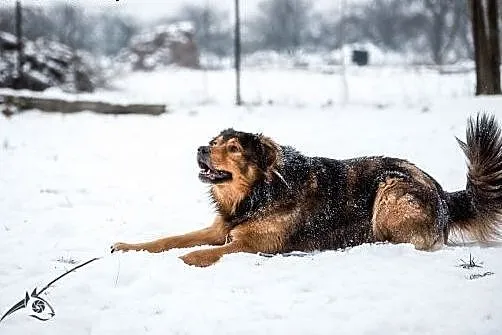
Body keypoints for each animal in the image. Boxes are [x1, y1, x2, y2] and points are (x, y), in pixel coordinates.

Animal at [112, 115, 502, 268]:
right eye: (215, 142)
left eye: (234, 149)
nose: (201, 149)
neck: (257, 192)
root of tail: (443, 194)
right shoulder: (220, 228)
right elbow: (168, 239)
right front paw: (130, 247)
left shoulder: (258, 244)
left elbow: (213, 252)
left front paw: (188, 259)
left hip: (392, 189)